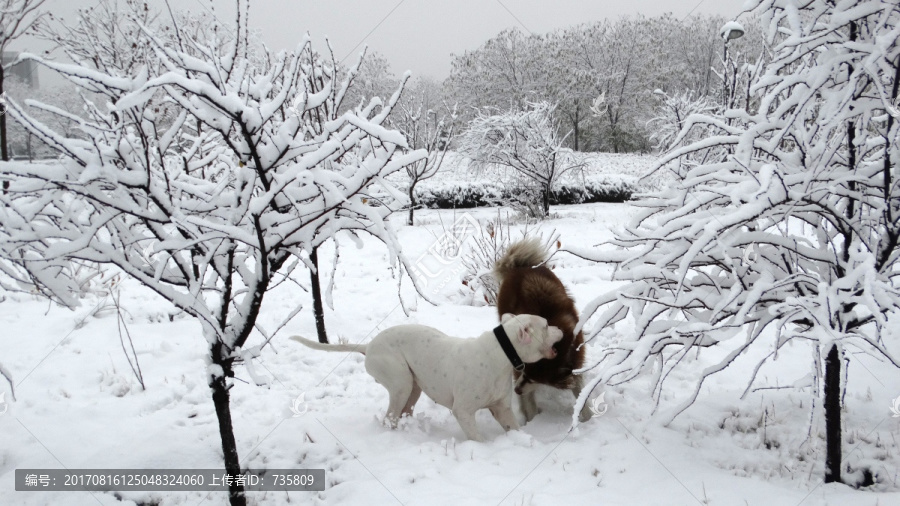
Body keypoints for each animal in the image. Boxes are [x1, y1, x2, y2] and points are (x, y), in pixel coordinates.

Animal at [292, 314, 560, 440]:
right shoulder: (463, 411)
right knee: (390, 416)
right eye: (546, 326)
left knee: (402, 413)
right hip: (401, 383)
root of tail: (369, 346)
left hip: (413, 388)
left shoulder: (502, 409)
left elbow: (514, 428)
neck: (501, 353)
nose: (561, 328)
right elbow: (477, 438)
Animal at [492, 238, 592, 422]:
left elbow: (581, 394)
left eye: (534, 379)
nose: (516, 390)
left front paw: (587, 418)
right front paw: (533, 422)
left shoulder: (575, 363)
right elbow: (529, 403)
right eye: (524, 372)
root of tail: (520, 267)